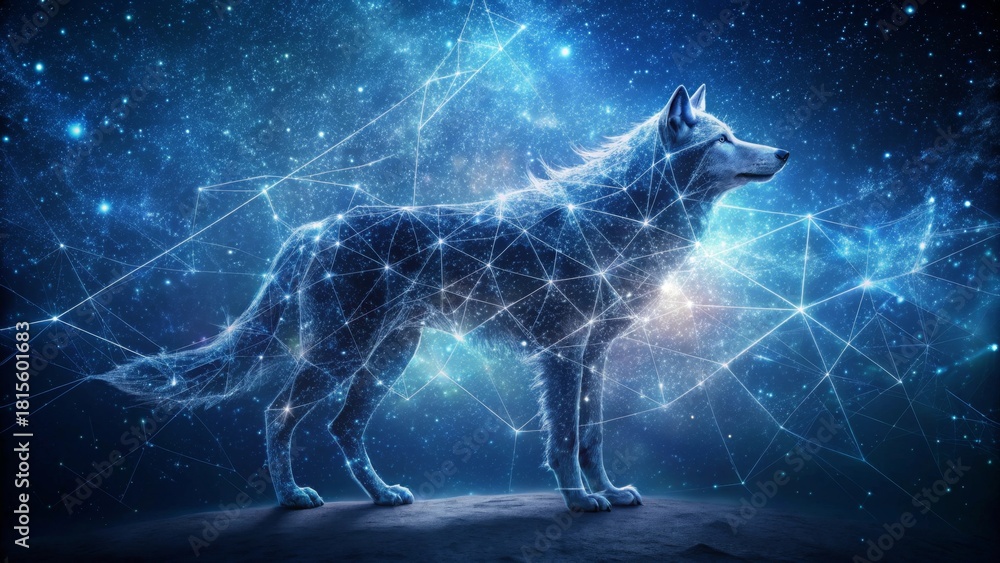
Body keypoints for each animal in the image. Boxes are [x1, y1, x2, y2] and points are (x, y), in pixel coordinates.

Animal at [98, 85, 788, 512]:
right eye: (724, 138)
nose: (784, 151)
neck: (625, 216)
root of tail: (311, 228)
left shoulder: (594, 355)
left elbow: (592, 437)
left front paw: (610, 492)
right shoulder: (562, 355)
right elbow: (564, 440)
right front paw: (578, 500)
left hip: (387, 358)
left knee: (342, 426)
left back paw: (382, 497)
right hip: (342, 355)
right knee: (278, 412)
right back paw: (292, 498)